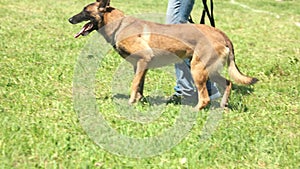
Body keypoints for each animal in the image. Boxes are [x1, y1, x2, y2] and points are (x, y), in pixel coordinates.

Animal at [68, 0, 258, 109]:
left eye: (85, 10)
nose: (70, 19)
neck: (119, 24)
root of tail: (221, 34)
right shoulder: (140, 66)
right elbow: (139, 85)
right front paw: (139, 101)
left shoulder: (144, 59)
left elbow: (134, 84)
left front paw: (131, 103)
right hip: (209, 69)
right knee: (228, 83)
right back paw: (224, 105)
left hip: (197, 69)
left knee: (205, 98)